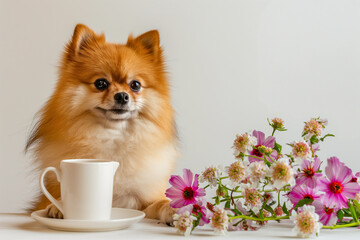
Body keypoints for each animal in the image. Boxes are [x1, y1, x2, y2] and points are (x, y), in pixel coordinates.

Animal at [25, 23, 179, 223]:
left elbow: (157, 203)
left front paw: (171, 208)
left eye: (135, 85)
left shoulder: (142, 200)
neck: (112, 137)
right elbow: (56, 199)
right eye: (101, 83)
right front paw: (57, 207)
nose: (122, 96)